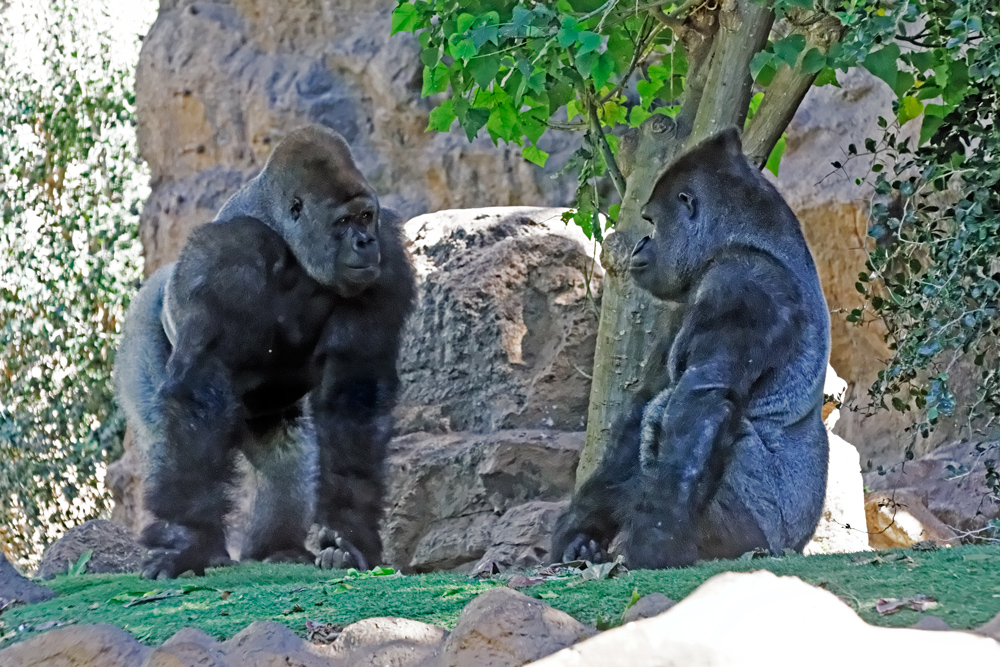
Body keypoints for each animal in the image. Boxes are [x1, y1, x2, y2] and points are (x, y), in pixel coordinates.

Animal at [115, 126, 416, 580]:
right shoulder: (226, 256)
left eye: (366, 217)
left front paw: (348, 536)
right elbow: (201, 393)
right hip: (140, 335)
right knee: (164, 430)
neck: (288, 242)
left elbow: (352, 396)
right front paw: (186, 542)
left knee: (288, 453)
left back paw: (276, 549)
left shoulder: (388, 257)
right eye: (343, 222)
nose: (365, 243)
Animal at [556, 129, 828, 568]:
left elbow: (697, 403)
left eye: (652, 221)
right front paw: (580, 528)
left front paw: (654, 545)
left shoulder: (742, 284)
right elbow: (642, 407)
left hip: (765, 537)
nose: (640, 244)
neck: (747, 241)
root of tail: (798, 544)